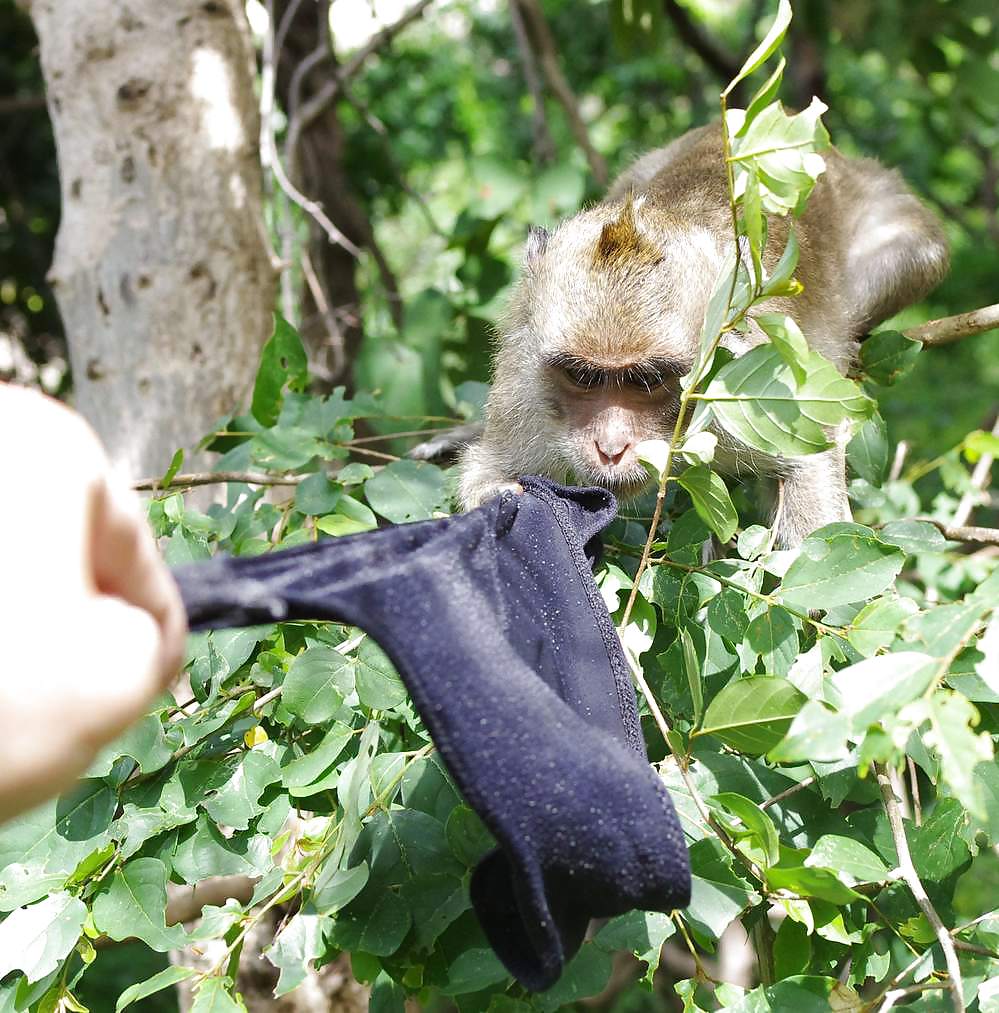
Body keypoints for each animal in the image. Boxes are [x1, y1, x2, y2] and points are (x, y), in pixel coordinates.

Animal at [456, 123, 949, 547]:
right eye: (584, 377)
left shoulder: (746, 383)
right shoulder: (523, 391)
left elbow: (809, 461)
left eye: (647, 381)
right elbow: (487, 472)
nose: (611, 448)